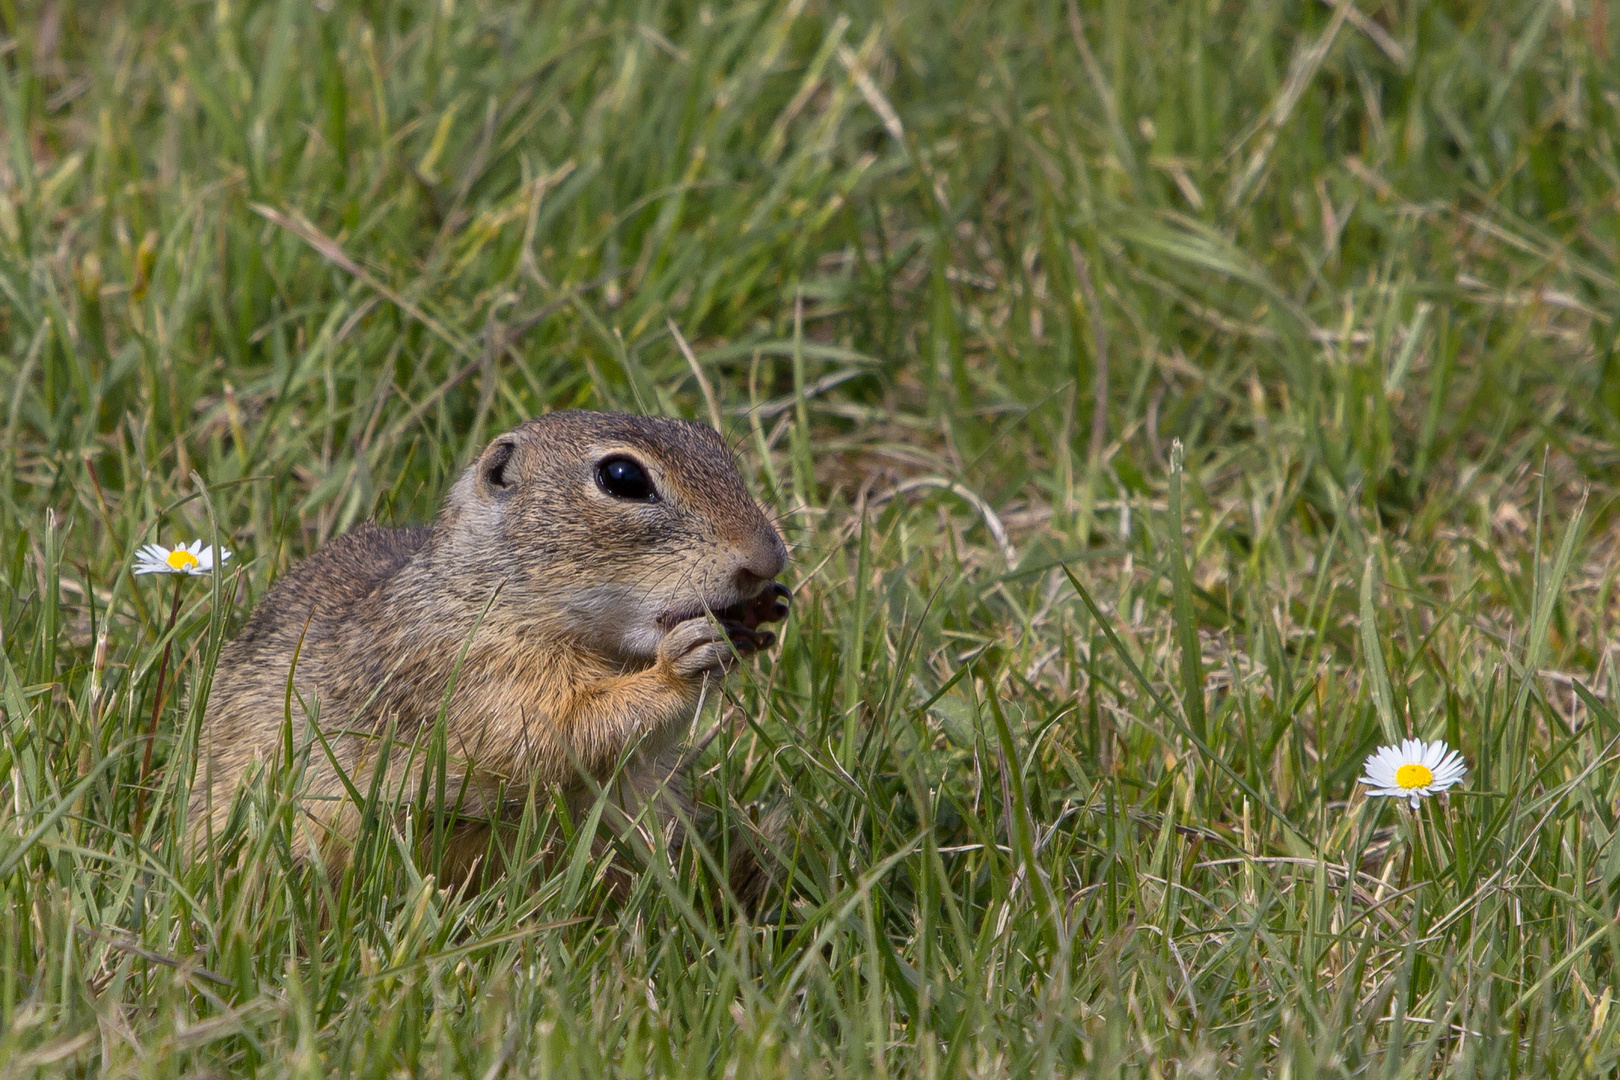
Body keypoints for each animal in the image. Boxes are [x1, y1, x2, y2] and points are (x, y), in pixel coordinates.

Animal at [192, 411, 787, 887]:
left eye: (714, 442)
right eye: (623, 477)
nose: (769, 559)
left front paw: (764, 610)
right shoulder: (473, 673)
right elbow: (560, 731)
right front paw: (682, 663)